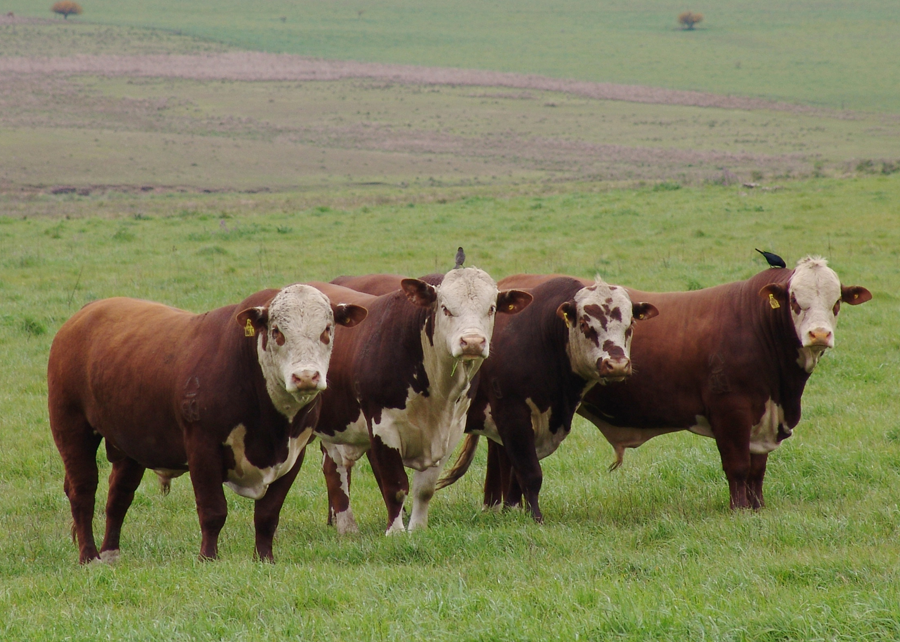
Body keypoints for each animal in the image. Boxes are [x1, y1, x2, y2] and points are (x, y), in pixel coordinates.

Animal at [46, 284, 366, 560]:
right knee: (83, 491)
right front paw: (208, 558)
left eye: (327, 330)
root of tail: (86, 312)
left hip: (129, 443)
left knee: (119, 496)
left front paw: (264, 559)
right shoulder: (202, 446)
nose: (306, 376)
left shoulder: (294, 453)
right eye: (277, 331)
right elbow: (213, 511)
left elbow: (267, 515)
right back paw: (89, 557)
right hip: (71, 427)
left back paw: (111, 555)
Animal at [312, 266, 536, 536]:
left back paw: (347, 528)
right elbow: (396, 486)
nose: (472, 342)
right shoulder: (382, 427)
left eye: (491, 308)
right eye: (445, 308)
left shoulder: (450, 431)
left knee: (335, 467)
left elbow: (424, 489)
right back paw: (348, 527)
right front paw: (395, 533)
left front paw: (417, 529)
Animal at [432, 274, 656, 520]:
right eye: (585, 324)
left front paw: (515, 509)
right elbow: (530, 472)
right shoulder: (513, 415)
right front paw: (535, 517)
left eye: (631, 324)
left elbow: (517, 473)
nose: (616, 364)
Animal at [576, 255, 872, 510]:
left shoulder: (763, 415)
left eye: (837, 302)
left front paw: (757, 507)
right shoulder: (731, 410)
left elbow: (757, 469)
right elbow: (738, 466)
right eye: (794, 300)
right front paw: (739, 509)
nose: (819, 334)